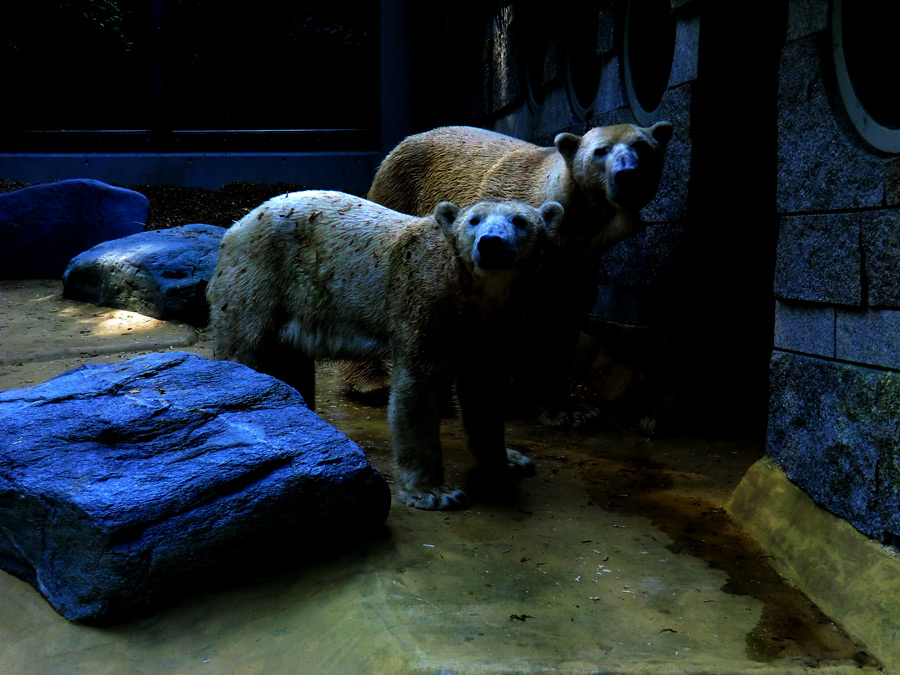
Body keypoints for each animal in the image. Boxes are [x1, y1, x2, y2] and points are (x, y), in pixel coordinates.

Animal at [207, 190, 568, 512]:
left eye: (520, 221)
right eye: (474, 220)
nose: (490, 243)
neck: (469, 291)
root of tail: (235, 226)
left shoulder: (498, 322)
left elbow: (485, 387)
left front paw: (509, 461)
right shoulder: (423, 302)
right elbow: (417, 390)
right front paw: (434, 493)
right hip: (259, 279)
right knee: (247, 348)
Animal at [346, 124, 676, 426]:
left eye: (643, 148)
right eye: (600, 151)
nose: (628, 175)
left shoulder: (573, 263)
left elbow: (557, 322)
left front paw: (571, 411)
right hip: (399, 192)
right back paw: (372, 383)